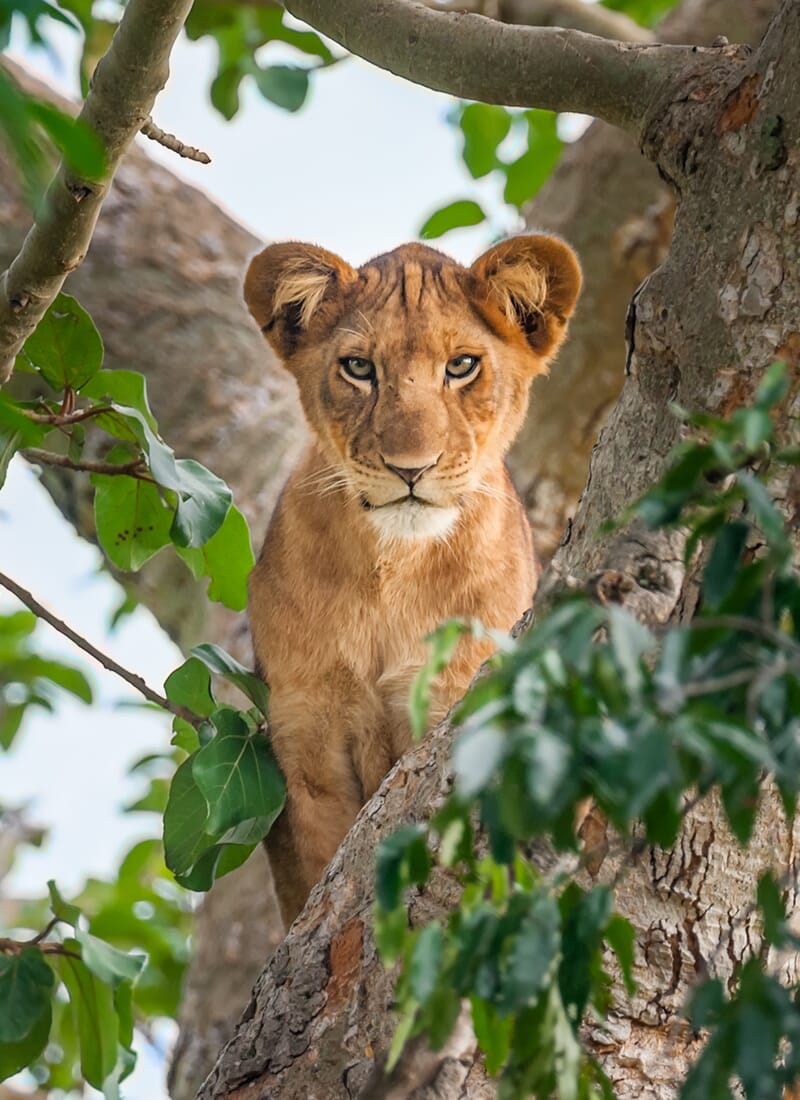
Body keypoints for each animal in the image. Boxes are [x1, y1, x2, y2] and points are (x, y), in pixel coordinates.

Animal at [244, 234, 582, 926]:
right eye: (358, 368)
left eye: (462, 366)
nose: (410, 468)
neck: (392, 569)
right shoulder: (307, 733)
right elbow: (320, 874)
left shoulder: (450, 693)